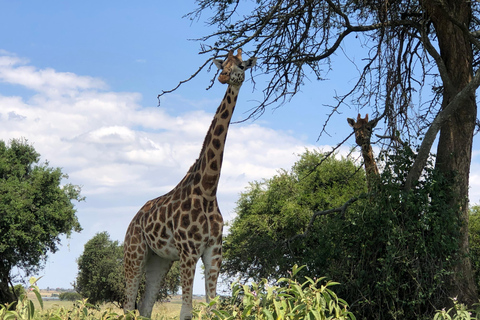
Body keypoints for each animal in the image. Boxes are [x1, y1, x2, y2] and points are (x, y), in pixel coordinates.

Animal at [125, 48, 256, 318]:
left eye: (240, 64)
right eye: (222, 64)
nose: (223, 76)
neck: (208, 189)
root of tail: (134, 219)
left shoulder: (214, 253)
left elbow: (214, 309)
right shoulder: (188, 252)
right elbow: (186, 312)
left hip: (160, 259)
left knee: (144, 306)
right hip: (135, 253)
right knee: (127, 305)